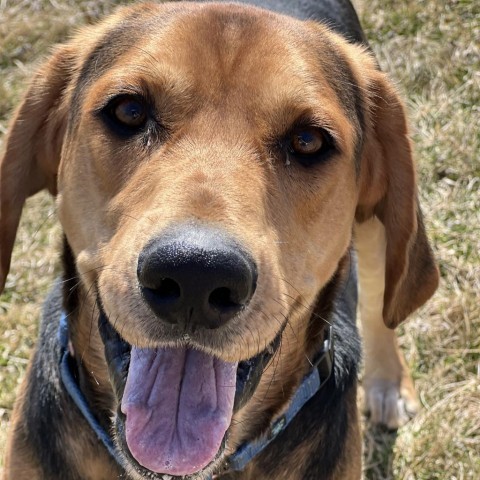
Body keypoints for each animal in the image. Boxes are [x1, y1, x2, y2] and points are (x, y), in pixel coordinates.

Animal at [0, 0, 438, 476]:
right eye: (129, 111)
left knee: (379, 306)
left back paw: (387, 382)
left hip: (380, 231)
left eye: (308, 140)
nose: (196, 274)